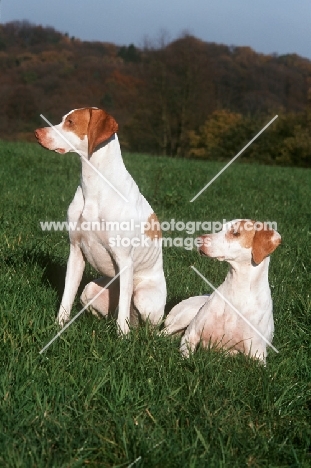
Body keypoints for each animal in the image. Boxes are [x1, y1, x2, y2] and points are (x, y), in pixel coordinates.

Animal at [34, 107, 167, 332]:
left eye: (70, 122)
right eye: (63, 119)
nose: (37, 132)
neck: (94, 186)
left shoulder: (124, 260)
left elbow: (122, 316)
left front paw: (122, 336)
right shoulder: (76, 252)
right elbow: (66, 296)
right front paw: (59, 325)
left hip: (143, 297)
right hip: (90, 290)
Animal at [165, 219, 282, 362]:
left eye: (235, 233)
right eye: (220, 229)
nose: (199, 239)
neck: (237, 292)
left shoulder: (257, 355)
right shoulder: (190, 335)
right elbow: (186, 358)